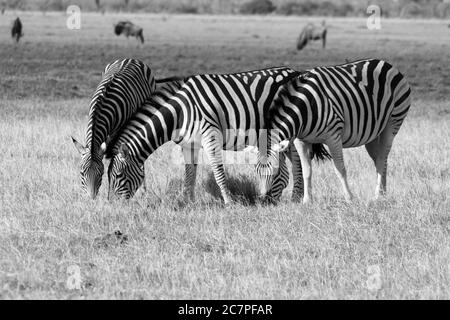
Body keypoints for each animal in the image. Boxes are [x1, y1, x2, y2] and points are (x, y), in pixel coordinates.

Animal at [105, 66, 318, 204]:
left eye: (118, 175)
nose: (113, 205)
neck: (180, 111)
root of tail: (295, 71)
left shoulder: (210, 135)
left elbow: (217, 171)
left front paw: (229, 202)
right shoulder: (188, 144)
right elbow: (190, 173)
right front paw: (188, 202)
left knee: (296, 160)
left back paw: (296, 197)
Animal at [256, 58, 412, 204]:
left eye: (276, 172)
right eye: (256, 171)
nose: (264, 200)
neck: (305, 109)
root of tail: (386, 63)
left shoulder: (333, 136)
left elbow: (340, 169)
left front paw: (349, 198)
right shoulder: (301, 140)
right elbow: (306, 170)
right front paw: (307, 200)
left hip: (393, 122)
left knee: (381, 159)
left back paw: (378, 196)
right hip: (373, 133)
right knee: (380, 159)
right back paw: (383, 194)